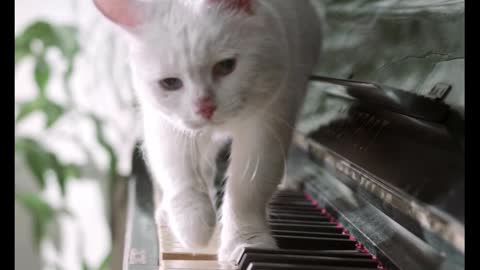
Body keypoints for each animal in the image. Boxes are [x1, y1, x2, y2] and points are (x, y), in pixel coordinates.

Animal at [94, 0, 322, 262]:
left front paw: (246, 243)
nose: (205, 107)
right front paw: (194, 228)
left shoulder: (268, 123)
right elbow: (181, 176)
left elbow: (247, 190)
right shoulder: (166, 126)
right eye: (170, 83)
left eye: (226, 66)